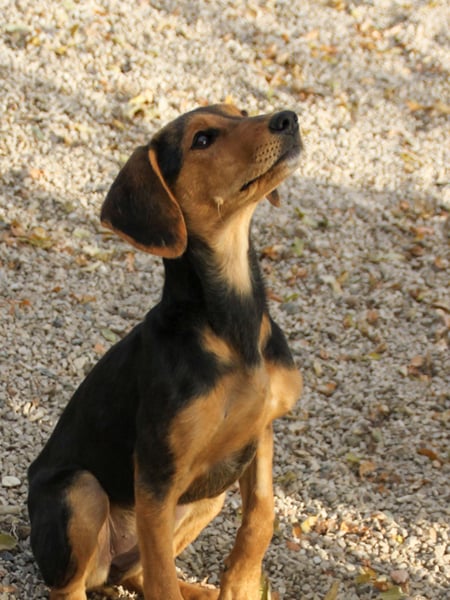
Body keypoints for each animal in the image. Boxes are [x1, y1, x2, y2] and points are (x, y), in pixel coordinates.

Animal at [27, 103, 303, 600]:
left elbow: (262, 516)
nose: (288, 118)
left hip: (208, 494)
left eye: (240, 112)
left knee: (135, 574)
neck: (230, 325)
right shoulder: (156, 476)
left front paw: (239, 584)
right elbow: (161, 578)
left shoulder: (260, 433)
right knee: (75, 584)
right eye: (202, 140)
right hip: (80, 491)